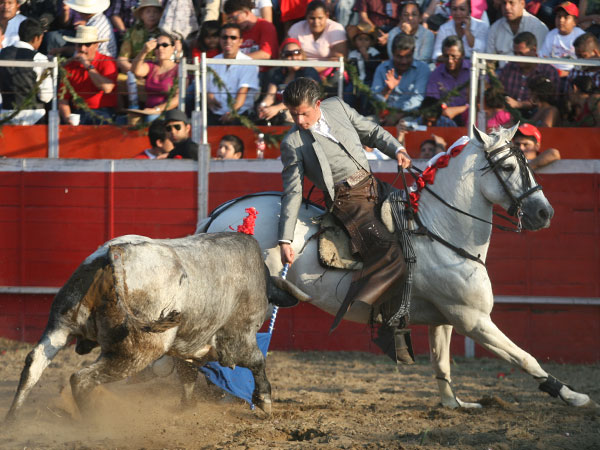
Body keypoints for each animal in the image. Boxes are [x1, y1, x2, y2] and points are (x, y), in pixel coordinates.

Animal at [7, 232, 310, 422]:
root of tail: (116, 252)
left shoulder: (190, 347)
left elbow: (187, 374)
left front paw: (187, 407)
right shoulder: (238, 338)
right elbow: (257, 361)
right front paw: (264, 401)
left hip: (61, 325)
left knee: (35, 362)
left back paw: (13, 419)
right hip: (139, 351)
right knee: (81, 379)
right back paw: (94, 423)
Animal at [199, 125, 592, 410]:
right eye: (508, 167)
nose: (544, 212)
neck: (438, 229)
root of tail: (221, 215)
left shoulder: (444, 318)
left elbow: (442, 362)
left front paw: (454, 404)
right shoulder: (473, 319)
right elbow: (525, 357)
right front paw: (573, 395)